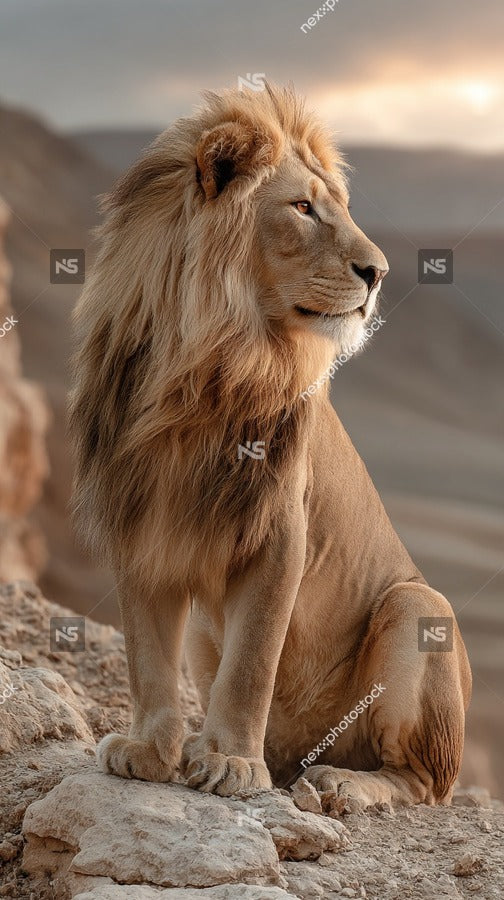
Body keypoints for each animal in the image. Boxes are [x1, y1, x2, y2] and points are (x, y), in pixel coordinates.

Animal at [70, 84, 471, 809]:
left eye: (338, 207)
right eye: (303, 208)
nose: (379, 272)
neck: (201, 362)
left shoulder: (280, 532)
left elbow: (252, 662)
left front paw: (232, 763)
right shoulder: (138, 524)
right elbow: (146, 656)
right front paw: (150, 751)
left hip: (418, 605)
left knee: (420, 781)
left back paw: (337, 781)